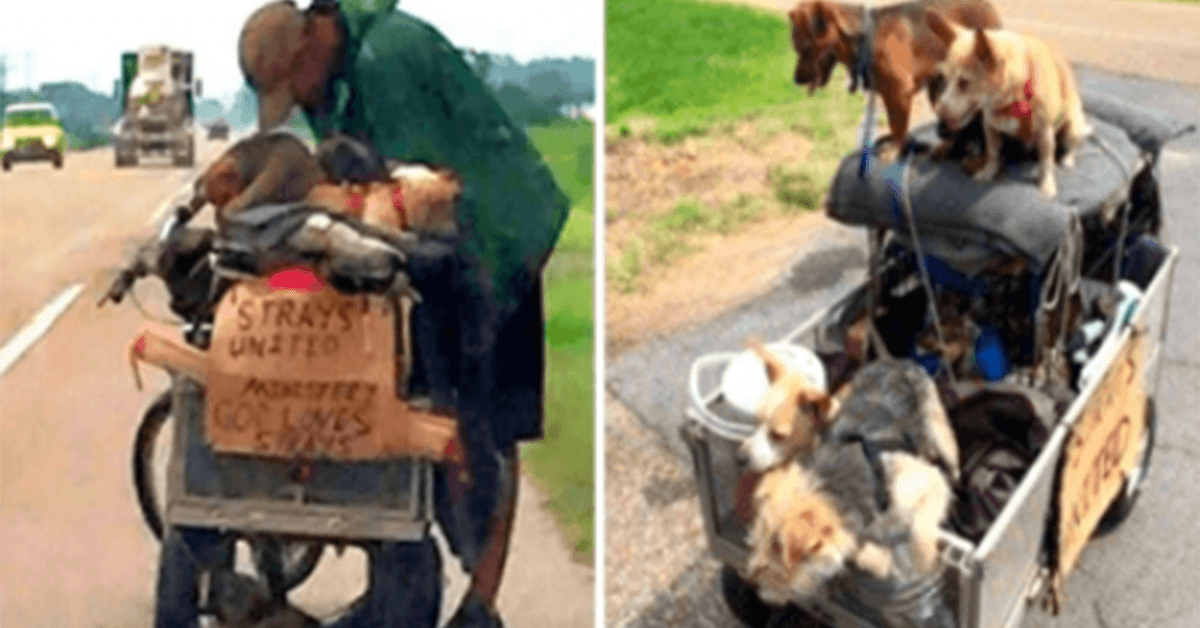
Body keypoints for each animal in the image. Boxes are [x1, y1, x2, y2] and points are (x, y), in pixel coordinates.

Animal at [744, 355, 960, 607]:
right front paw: (876, 558)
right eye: (755, 543)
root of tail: (896, 361)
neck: (833, 483)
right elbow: (868, 555)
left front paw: (924, 564)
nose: (751, 586)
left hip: (941, 434)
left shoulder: (928, 481)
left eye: (779, 550)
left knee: (950, 463)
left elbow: (920, 536)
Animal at [787, 0, 1003, 157]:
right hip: (938, 88)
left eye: (805, 48)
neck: (865, 38)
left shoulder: (899, 93)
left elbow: (899, 126)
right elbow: (894, 124)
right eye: (796, 48)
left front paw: (895, 150)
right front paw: (897, 143)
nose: (796, 80)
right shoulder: (889, 95)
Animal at [921, 14, 1094, 196]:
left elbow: (1046, 161)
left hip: (1072, 129)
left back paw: (1068, 159)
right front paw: (987, 172)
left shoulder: (1045, 134)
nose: (939, 114)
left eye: (963, 82)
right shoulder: (990, 128)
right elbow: (993, 154)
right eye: (944, 81)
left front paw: (1047, 185)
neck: (1013, 99)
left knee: (1072, 146)